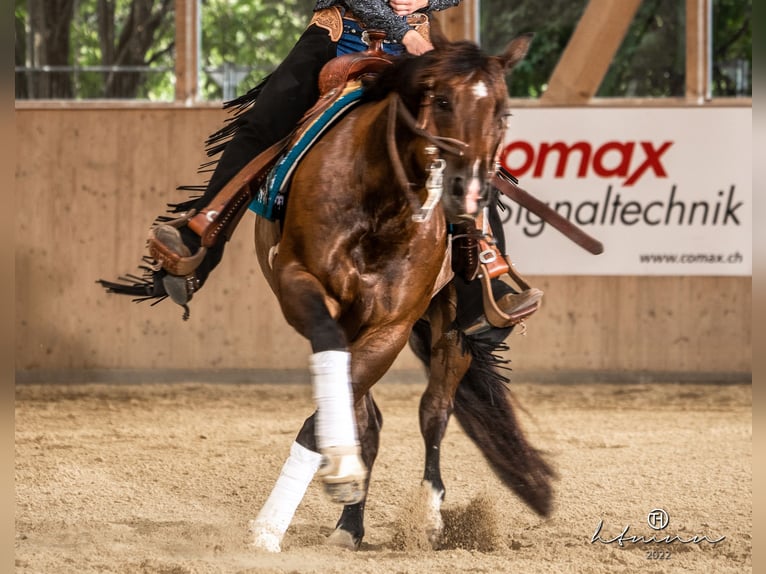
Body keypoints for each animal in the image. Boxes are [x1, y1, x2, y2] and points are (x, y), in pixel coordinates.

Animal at [246, 33, 555, 552]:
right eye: (442, 100)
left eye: (503, 113)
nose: (469, 192)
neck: (381, 207)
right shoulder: (303, 289)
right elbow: (343, 392)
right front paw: (280, 520)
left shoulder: (391, 325)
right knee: (367, 413)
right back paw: (350, 525)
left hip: (449, 328)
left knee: (434, 411)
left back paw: (427, 514)